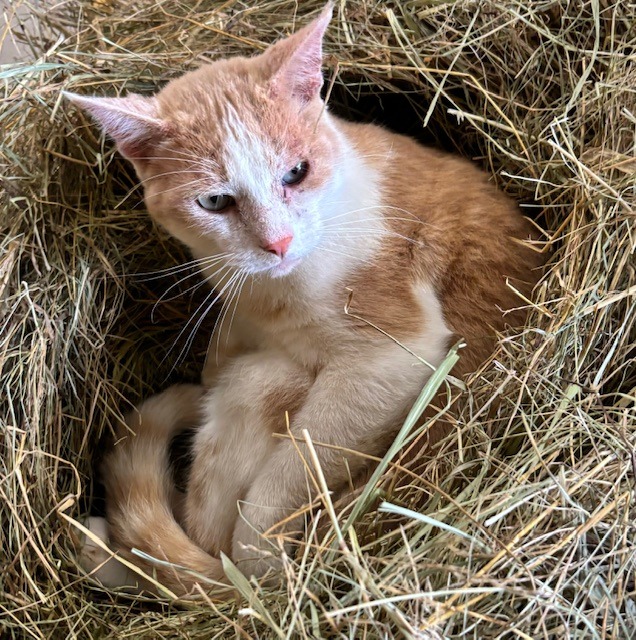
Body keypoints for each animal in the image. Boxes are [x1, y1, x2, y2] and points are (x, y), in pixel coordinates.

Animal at [67, 2, 544, 596]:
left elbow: (287, 481)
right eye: (214, 202)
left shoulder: (394, 355)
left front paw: (263, 560)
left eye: (297, 172)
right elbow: (220, 348)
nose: (278, 242)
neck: (271, 292)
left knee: (204, 550)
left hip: (265, 386)